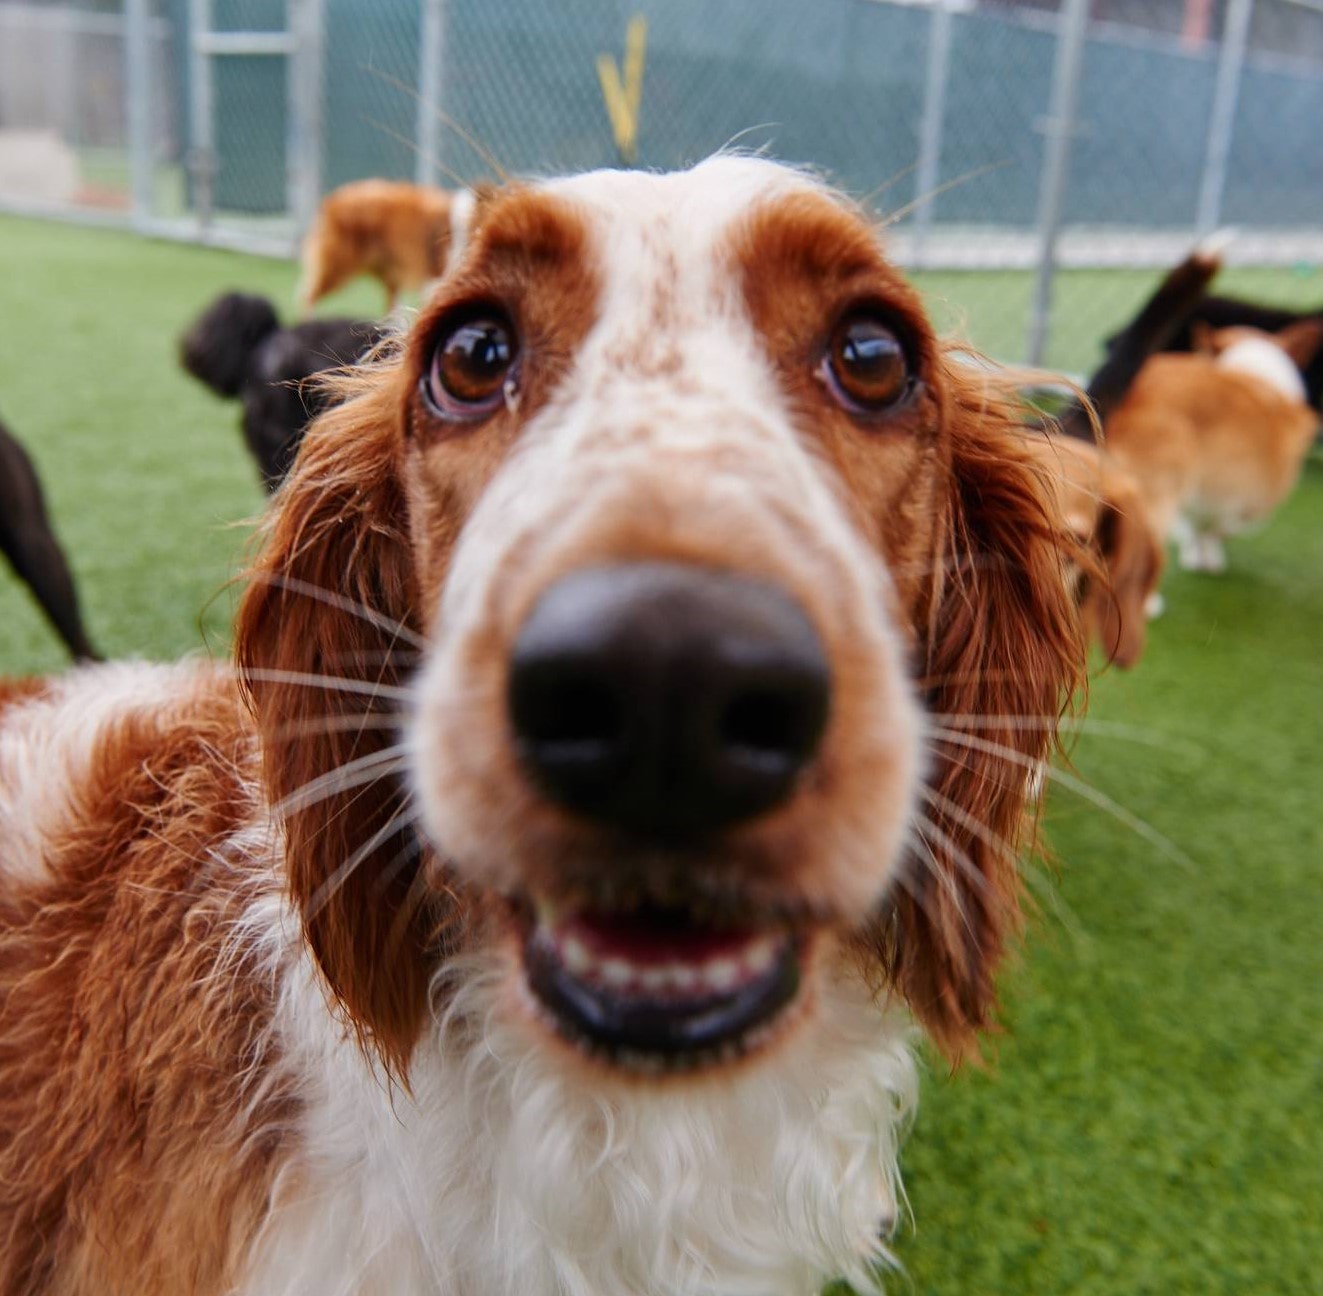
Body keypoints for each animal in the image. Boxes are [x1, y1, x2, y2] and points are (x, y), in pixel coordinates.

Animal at [1106, 318, 1323, 571]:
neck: (1251, 372)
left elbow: (1196, 527)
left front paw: (1193, 554)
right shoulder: (1247, 502)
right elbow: (1217, 531)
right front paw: (1210, 559)